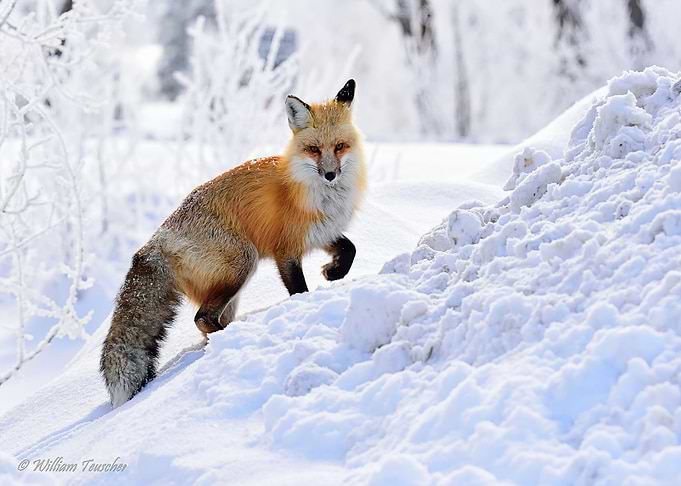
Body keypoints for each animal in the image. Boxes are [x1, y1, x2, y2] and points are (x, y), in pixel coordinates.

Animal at [100, 80, 367, 408]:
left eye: (339, 146)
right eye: (314, 149)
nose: (330, 174)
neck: (317, 195)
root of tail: (155, 241)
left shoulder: (320, 233)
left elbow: (350, 249)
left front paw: (333, 272)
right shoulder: (285, 251)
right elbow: (299, 290)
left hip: (230, 288)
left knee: (206, 322)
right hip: (241, 265)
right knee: (202, 318)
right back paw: (231, 334)